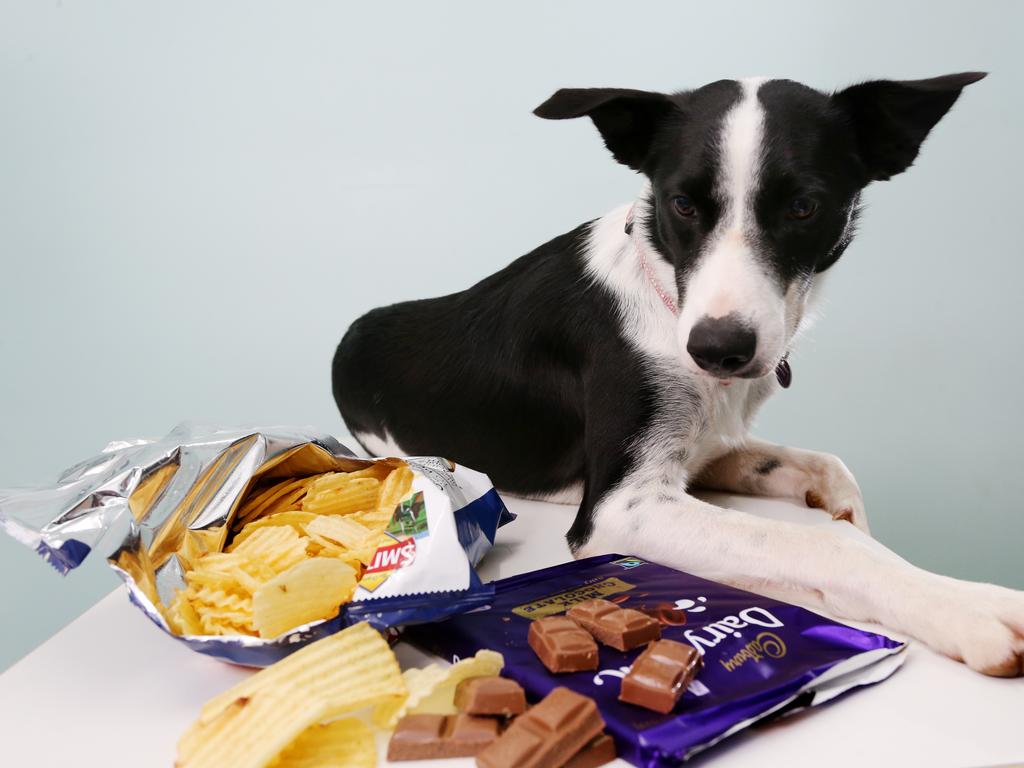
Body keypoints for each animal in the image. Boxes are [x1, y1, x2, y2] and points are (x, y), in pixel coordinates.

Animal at [335, 75, 1024, 679]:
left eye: (804, 207)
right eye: (682, 204)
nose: (718, 349)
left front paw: (847, 510)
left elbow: (830, 468)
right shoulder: (622, 507)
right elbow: (827, 545)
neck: (668, 299)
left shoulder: (709, 446)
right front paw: (967, 605)